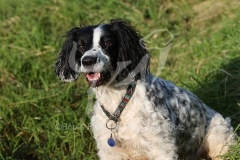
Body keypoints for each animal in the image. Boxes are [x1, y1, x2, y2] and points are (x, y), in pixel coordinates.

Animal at [55, 19, 237, 159]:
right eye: (80, 46)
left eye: (107, 42)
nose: (87, 60)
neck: (119, 102)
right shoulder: (110, 152)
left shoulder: (162, 148)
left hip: (219, 138)